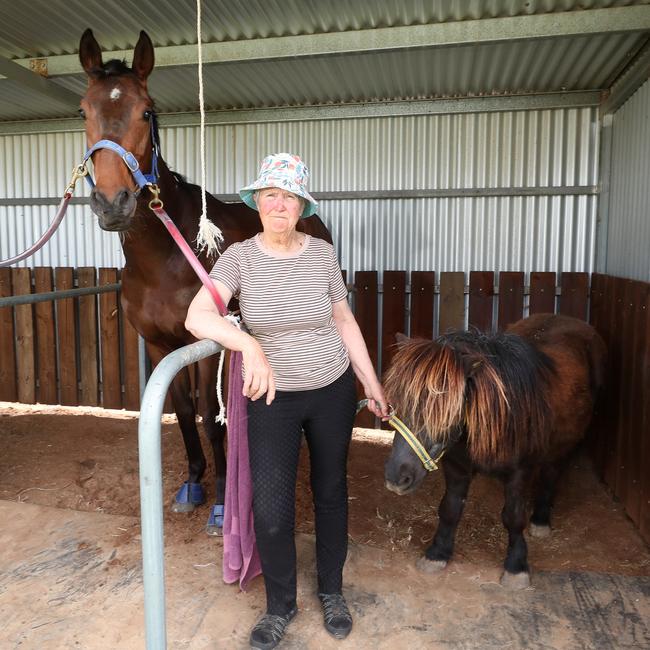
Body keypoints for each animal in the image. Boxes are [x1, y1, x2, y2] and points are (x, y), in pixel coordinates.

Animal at [78, 29, 332, 532]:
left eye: (147, 111)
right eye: (83, 111)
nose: (112, 204)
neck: (164, 260)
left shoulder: (204, 344)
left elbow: (211, 416)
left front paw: (219, 501)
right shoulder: (161, 346)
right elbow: (183, 412)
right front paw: (192, 484)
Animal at [382, 312, 604, 588]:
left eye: (445, 409)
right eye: (396, 402)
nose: (396, 478)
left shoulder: (520, 472)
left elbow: (513, 517)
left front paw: (516, 566)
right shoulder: (456, 467)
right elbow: (450, 509)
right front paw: (437, 553)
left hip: (563, 446)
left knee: (551, 475)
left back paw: (541, 520)